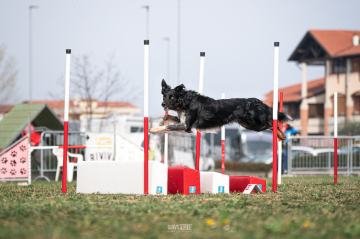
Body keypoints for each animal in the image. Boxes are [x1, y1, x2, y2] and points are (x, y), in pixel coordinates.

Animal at [149, 80, 292, 140]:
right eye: (164, 96)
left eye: (172, 97)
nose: (163, 104)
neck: (185, 102)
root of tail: (256, 101)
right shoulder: (184, 123)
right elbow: (167, 117)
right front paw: (160, 122)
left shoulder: (186, 126)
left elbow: (168, 126)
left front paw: (154, 129)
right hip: (247, 124)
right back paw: (282, 135)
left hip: (254, 124)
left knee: (271, 123)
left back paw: (281, 135)